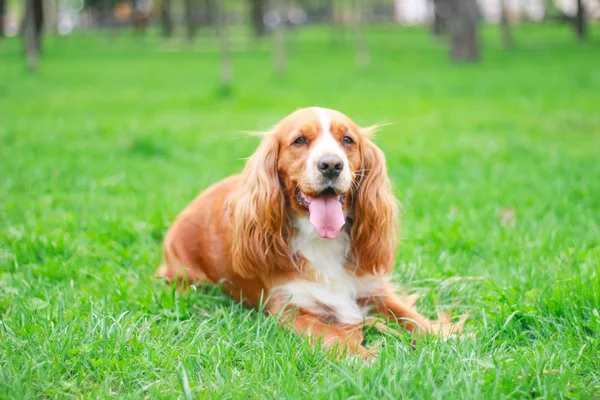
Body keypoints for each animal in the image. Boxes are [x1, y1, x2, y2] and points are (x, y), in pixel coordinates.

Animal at [156, 107, 464, 360]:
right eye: (300, 140)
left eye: (348, 140)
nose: (331, 165)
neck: (321, 240)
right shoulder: (290, 309)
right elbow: (335, 336)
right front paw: (366, 357)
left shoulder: (373, 289)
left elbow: (410, 316)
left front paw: (445, 335)